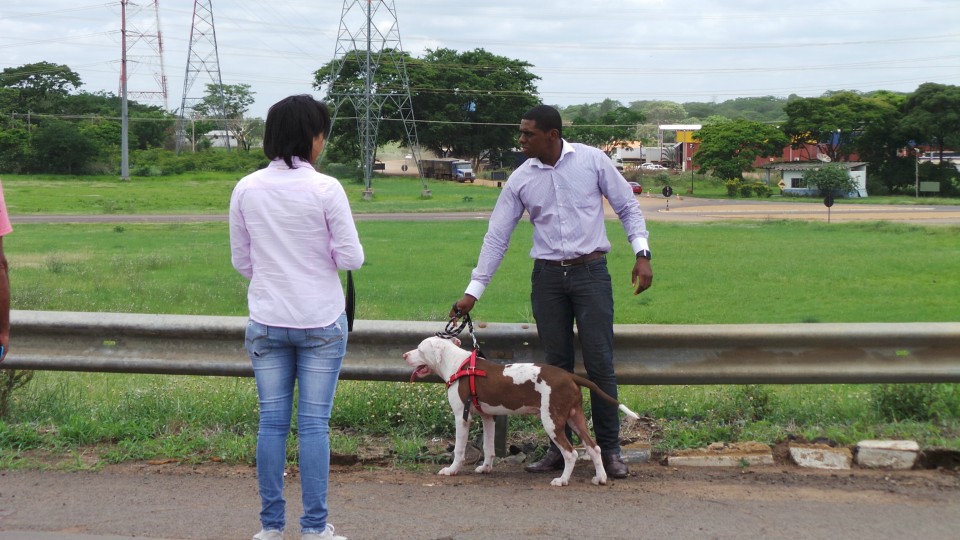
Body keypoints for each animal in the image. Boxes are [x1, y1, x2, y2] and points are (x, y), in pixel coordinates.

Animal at [402, 336, 640, 488]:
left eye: (420, 349)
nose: (404, 354)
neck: (457, 365)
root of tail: (569, 376)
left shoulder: (462, 416)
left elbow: (459, 449)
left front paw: (451, 470)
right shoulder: (488, 416)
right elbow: (489, 447)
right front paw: (486, 468)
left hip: (552, 419)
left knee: (571, 453)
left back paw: (562, 480)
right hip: (575, 417)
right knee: (594, 448)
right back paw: (600, 478)